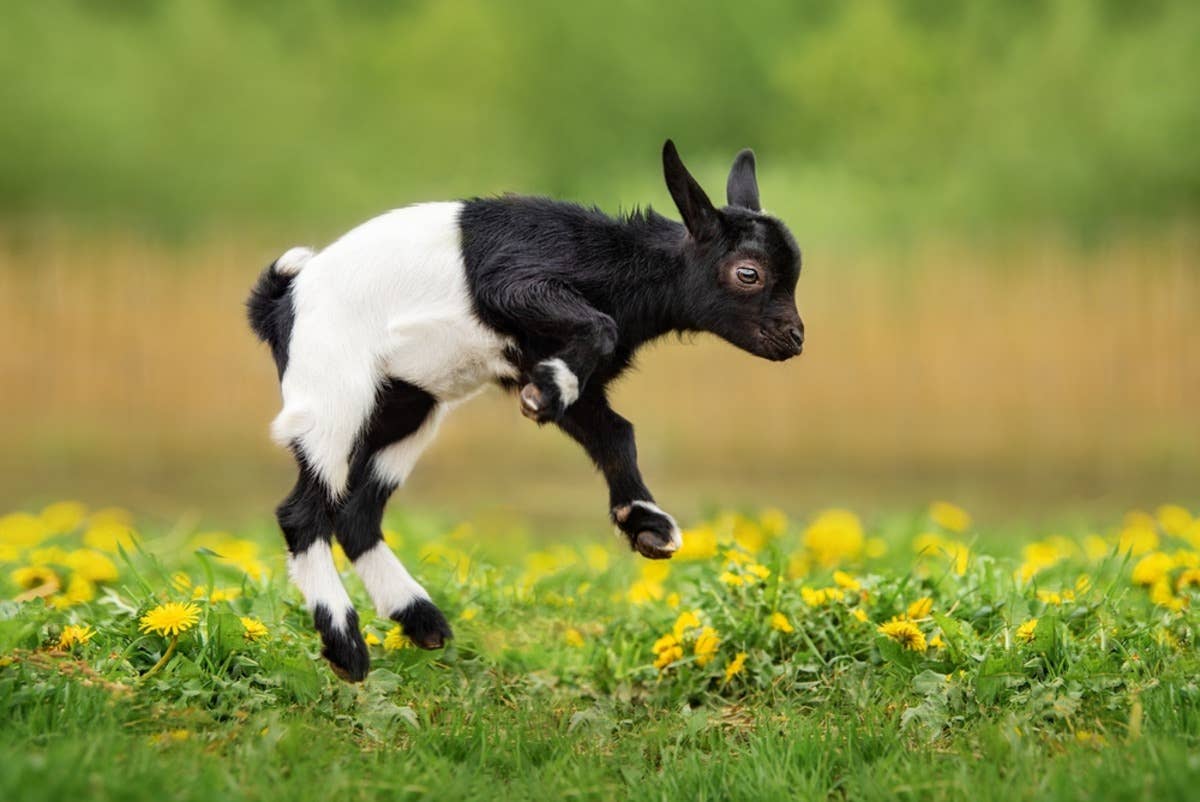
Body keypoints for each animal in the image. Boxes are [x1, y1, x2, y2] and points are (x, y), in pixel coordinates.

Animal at [247, 140, 804, 681]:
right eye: (748, 273)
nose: (795, 339)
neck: (620, 266)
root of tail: (279, 304)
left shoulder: (557, 372)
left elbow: (617, 432)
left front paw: (643, 522)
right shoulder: (515, 281)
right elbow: (599, 328)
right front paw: (548, 398)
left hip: (406, 404)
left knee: (357, 512)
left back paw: (421, 619)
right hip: (334, 396)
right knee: (302, 513)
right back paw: (346, 645)